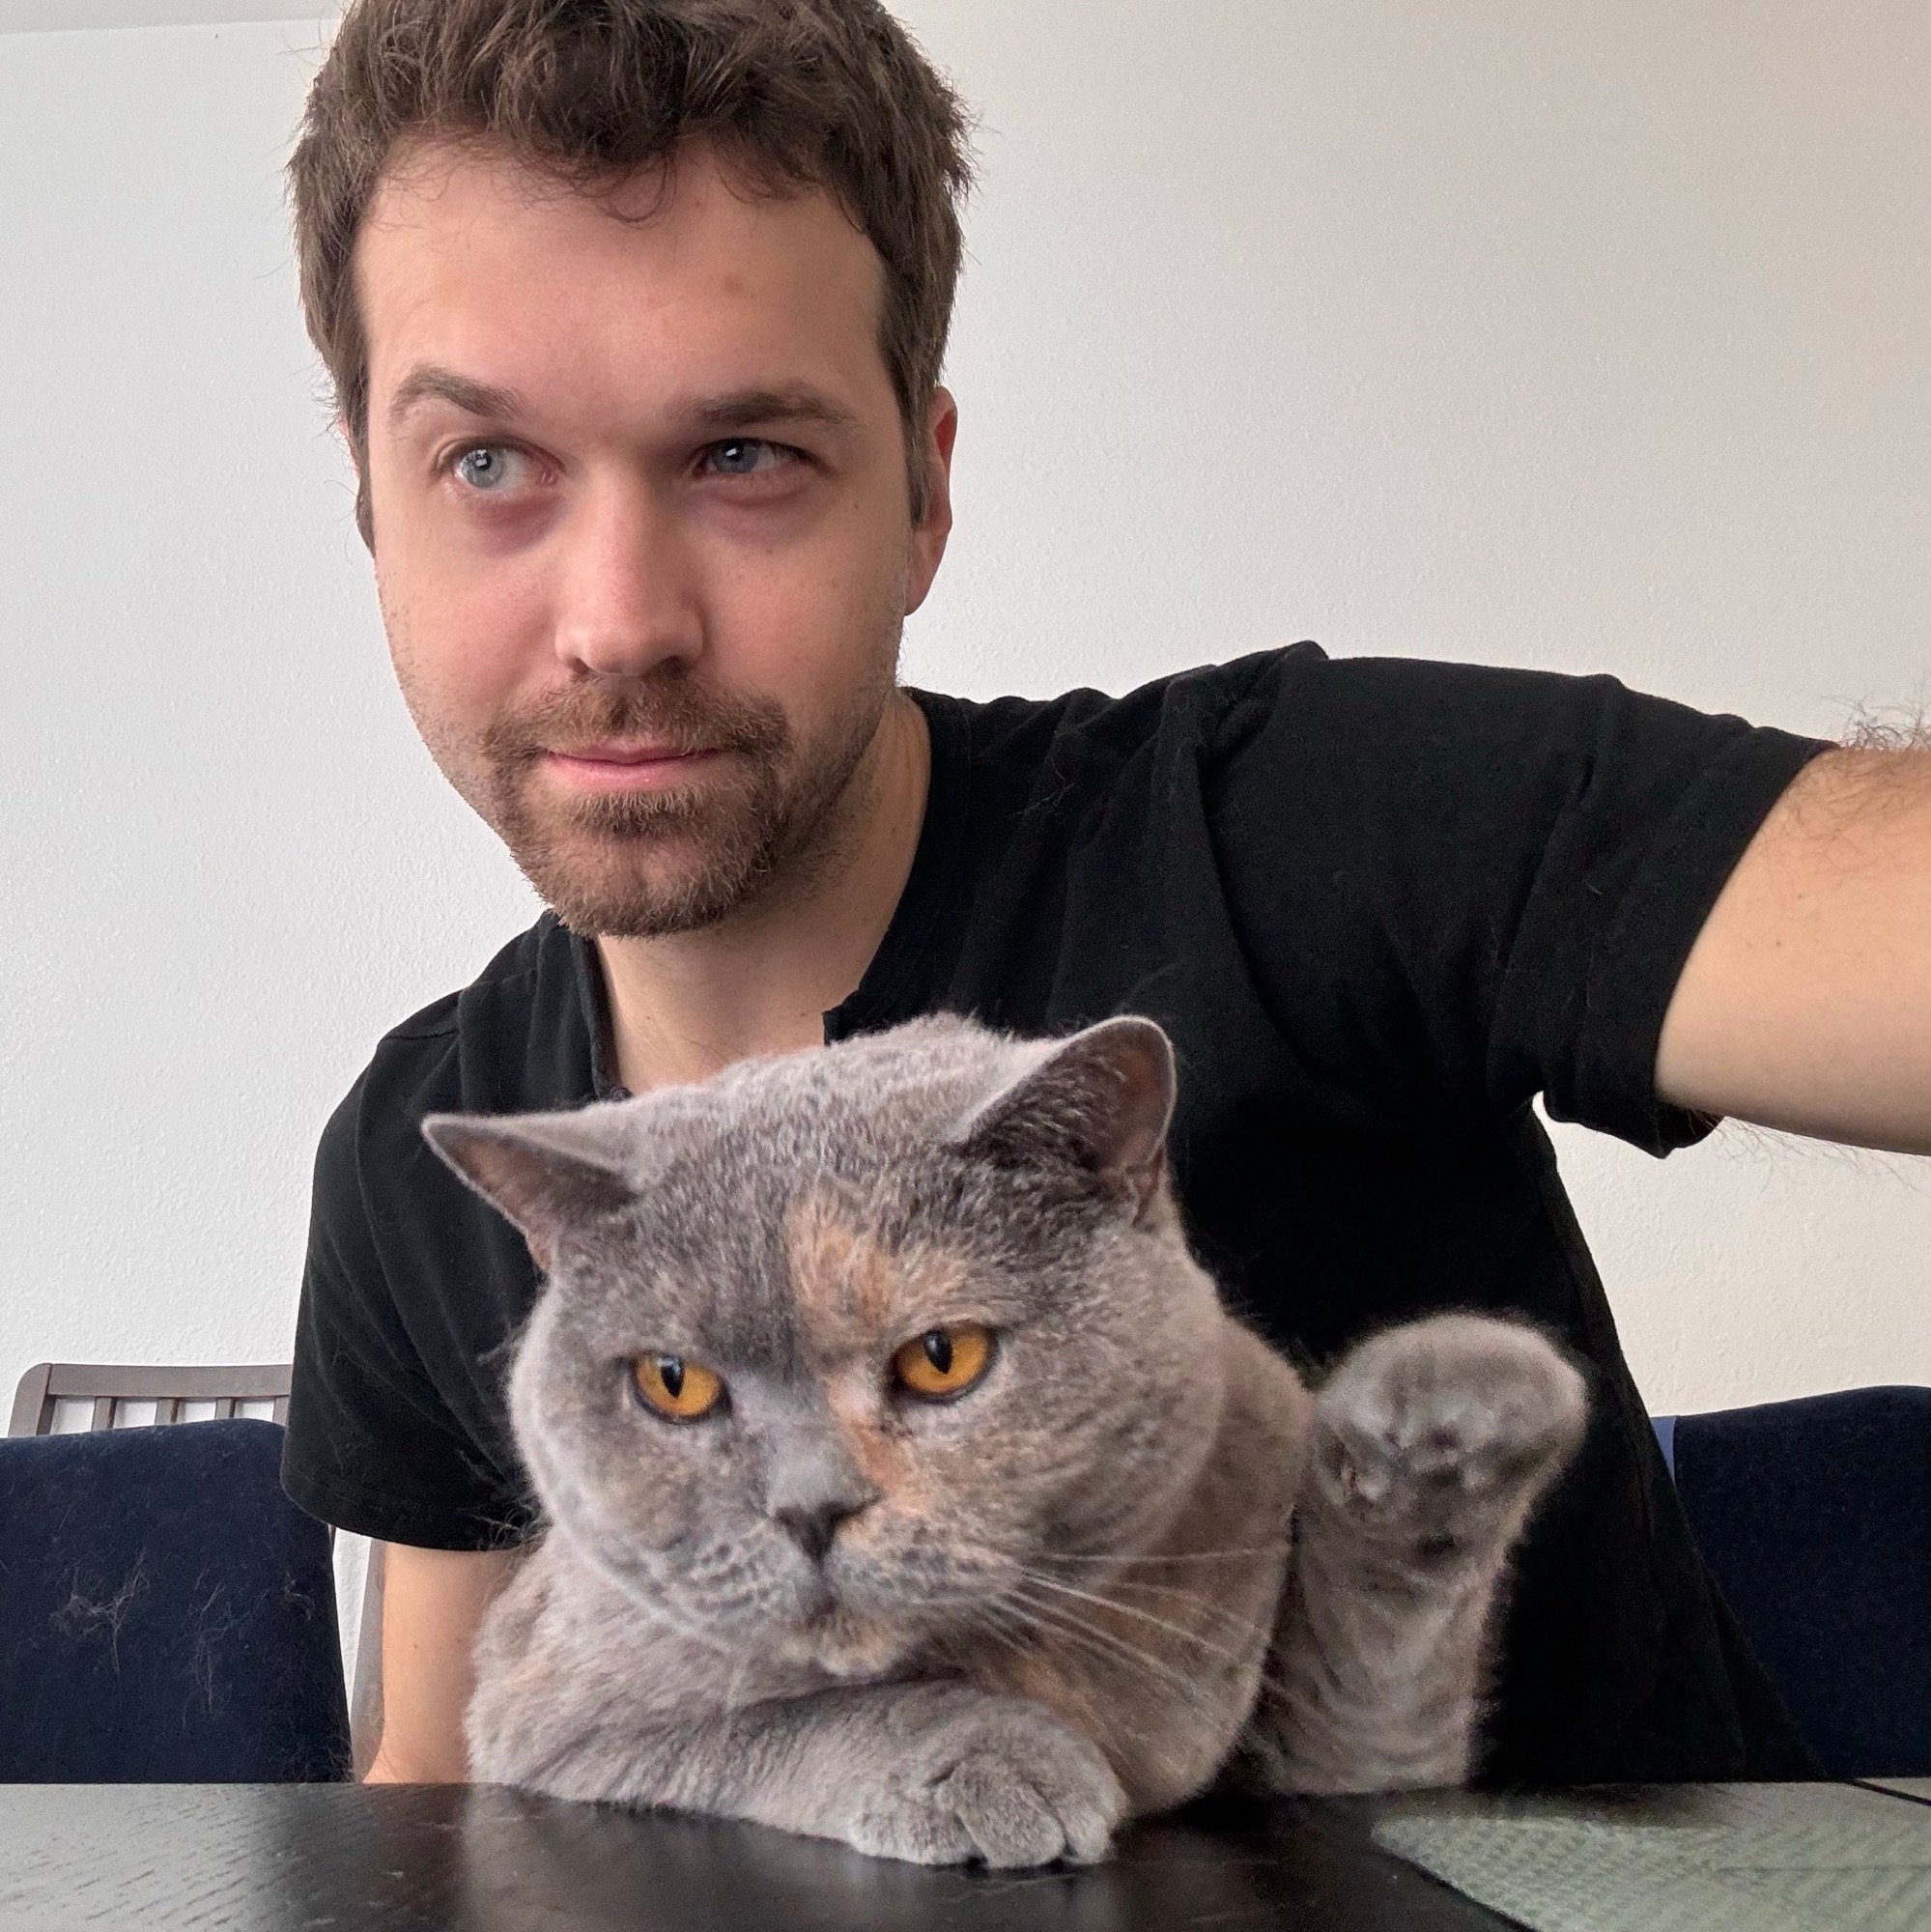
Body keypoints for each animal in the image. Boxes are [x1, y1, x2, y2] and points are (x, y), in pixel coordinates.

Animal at [422, 1012, 1586, 1868]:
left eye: (943, 1357)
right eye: (675, 1383)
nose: (810, 1508)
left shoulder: (1326, 1736)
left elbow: (1374, 1675)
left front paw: (1449, 1418)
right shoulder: (551, 1718)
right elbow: (805, 1717)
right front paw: (988, 1763)